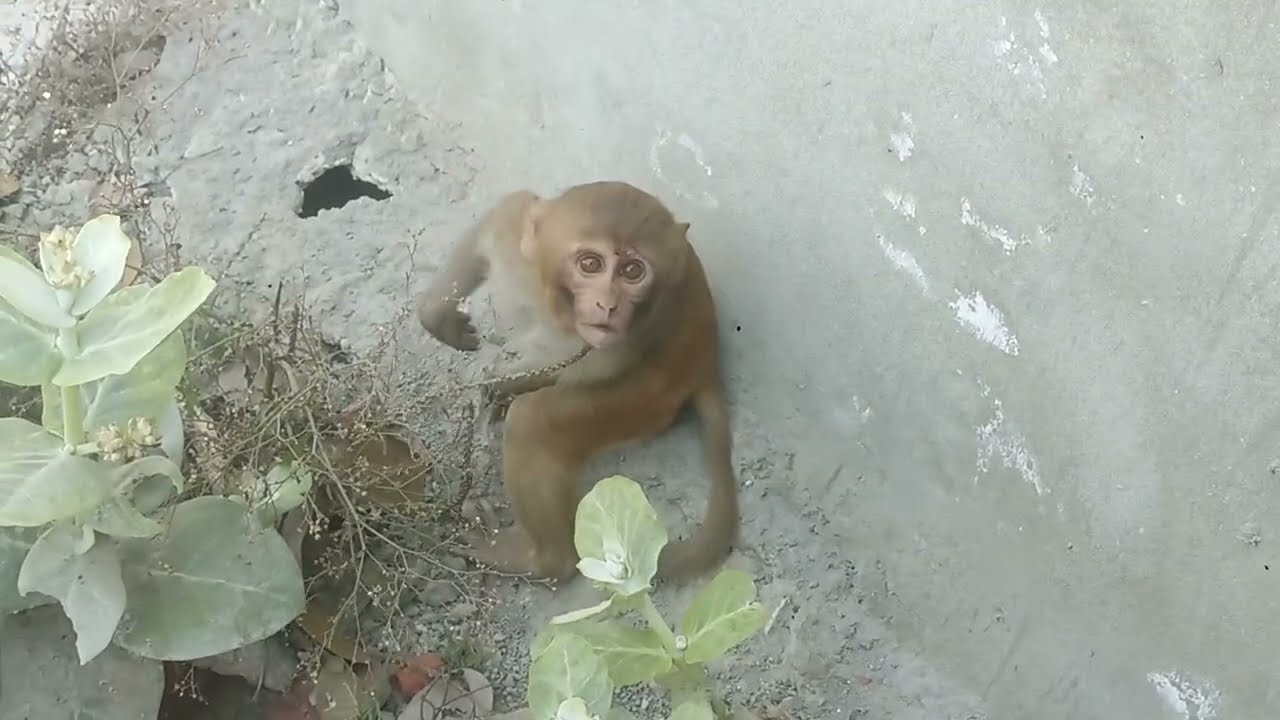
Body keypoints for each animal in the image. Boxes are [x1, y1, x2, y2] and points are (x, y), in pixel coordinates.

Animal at [416, 181, 738, 582]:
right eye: (590, 264)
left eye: (633, 271)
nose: (608, 305)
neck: (558, 309)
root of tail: (704, 358)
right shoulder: (517, 250)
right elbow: (503, 214)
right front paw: (441, 318)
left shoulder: (624, 338)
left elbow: (598, 365)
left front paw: (493, 382)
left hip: (647, 399)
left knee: (534, 420)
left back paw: (544, 560)